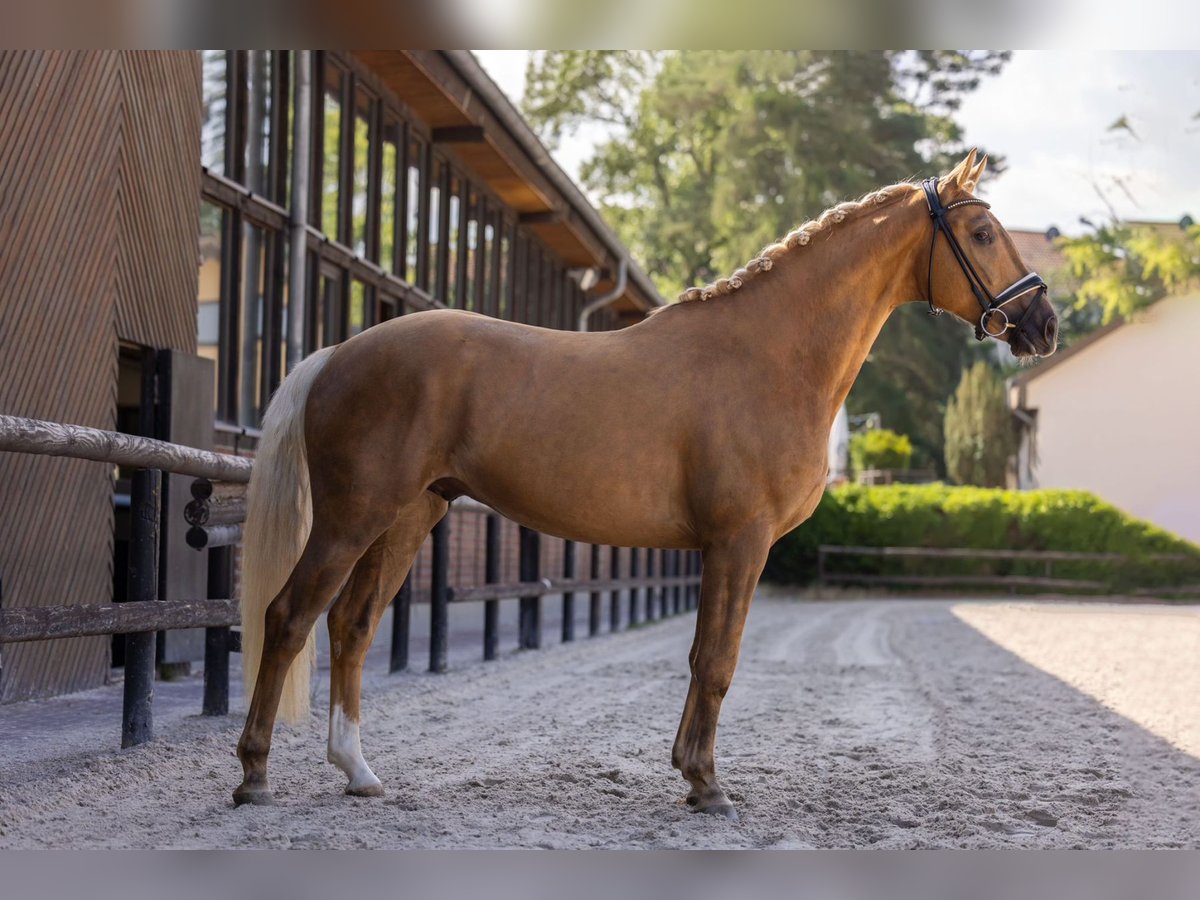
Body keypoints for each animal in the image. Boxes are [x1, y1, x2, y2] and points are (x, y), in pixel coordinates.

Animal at [234, 151, 1060, 820]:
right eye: (982, 234)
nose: (1045, 323)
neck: (768, 356)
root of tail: (338, 353)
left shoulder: (722, 548)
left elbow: (703, 657)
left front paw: (692, 777)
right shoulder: (739, 543)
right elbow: (718, 662)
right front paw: (708, 786)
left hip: (408, 516)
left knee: (352, 626)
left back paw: (358, 772)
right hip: (352, 516)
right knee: (288, 618)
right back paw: (254, 776)